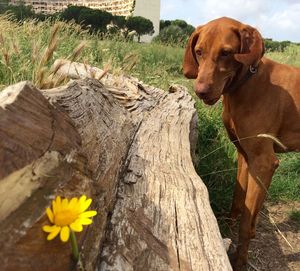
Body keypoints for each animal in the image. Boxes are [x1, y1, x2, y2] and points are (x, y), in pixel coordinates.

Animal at [183, 16, 300, 270]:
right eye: (199, 51)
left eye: (226, 53)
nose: (201, 91)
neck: (247, 83)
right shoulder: (245, 156)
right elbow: (240, 199)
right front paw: (229, 224)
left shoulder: (264, 162)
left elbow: (246, 222)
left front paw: (240, 260)